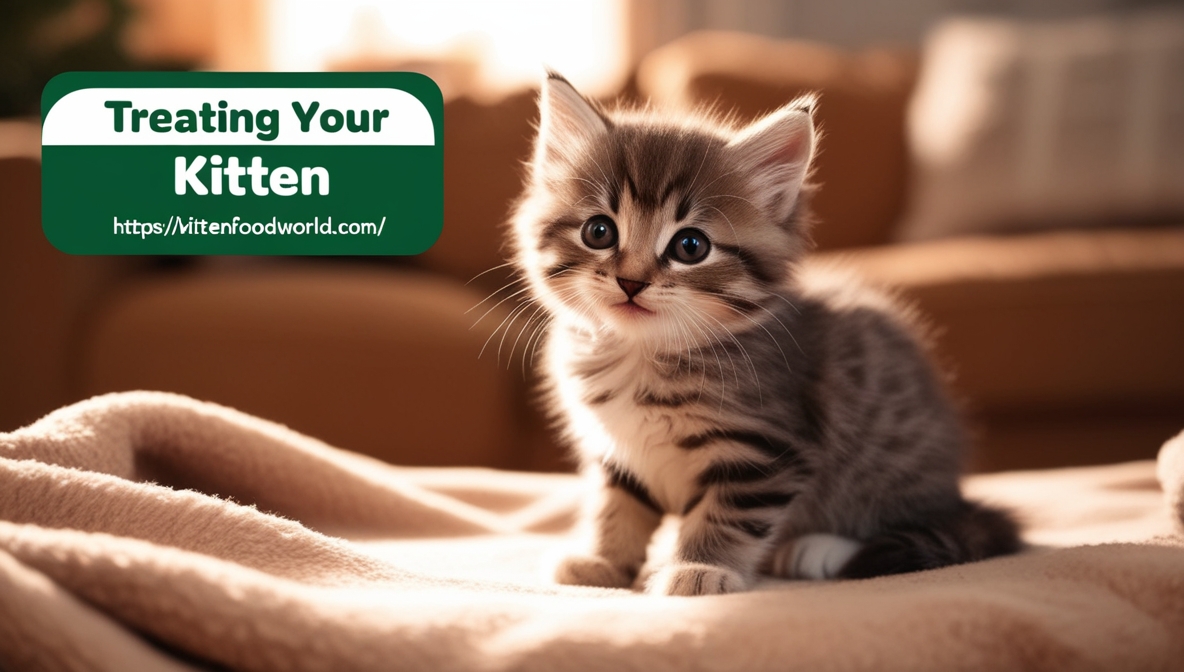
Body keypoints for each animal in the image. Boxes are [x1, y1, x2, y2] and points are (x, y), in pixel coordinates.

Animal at [506, 74, 1018, 598]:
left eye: (690, 246)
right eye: (599, 232)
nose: (631, 282)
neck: (643, 353)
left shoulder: (762, 450)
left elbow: (724, 518)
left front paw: (698, 568)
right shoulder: (619, 454)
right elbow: (616, 509)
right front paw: (602, 561)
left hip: (891, 465)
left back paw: (818, 549)